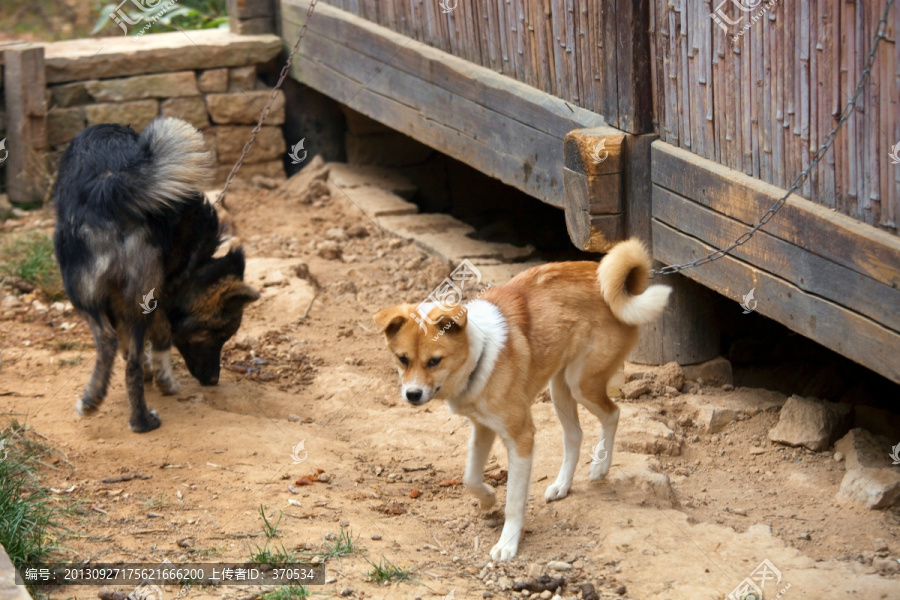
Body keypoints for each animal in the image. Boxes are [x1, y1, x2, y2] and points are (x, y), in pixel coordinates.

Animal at [52, 118, 258, 432]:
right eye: (218, 334)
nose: (213, 380)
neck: (195, 265)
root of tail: (112, 184)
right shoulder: (160, 292)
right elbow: (156, 338)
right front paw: (163, 378)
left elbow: (149, 340)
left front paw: (161, 379)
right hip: (123, 294)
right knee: (126, 354)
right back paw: (132, 415)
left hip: (87, 291)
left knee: (110, 343)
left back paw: (109, 407)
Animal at [372, 240, 668, 564]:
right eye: (403, 359)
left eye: (434, 361)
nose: (412, 395)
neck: (480, 354)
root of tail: (610, 281)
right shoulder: (483, 428)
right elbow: (470, 476)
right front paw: (488, 498)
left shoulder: (521, 437)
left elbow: (514, 500)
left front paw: (508, 544)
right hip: (559, 388)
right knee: (574, 435)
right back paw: (562, 485)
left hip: (581, 384)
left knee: (613, 413)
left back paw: (601, 467)